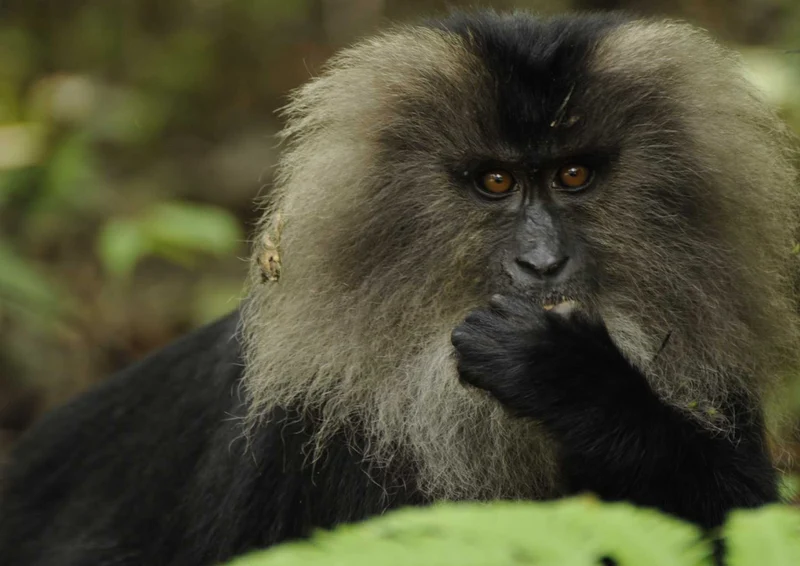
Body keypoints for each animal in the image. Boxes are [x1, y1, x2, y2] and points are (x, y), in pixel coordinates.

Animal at [1, 10, 798, 566]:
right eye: (496, 181)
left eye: (573, 175)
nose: (542, 263)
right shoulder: (290, 432)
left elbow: (740, 519)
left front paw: (569, 376)